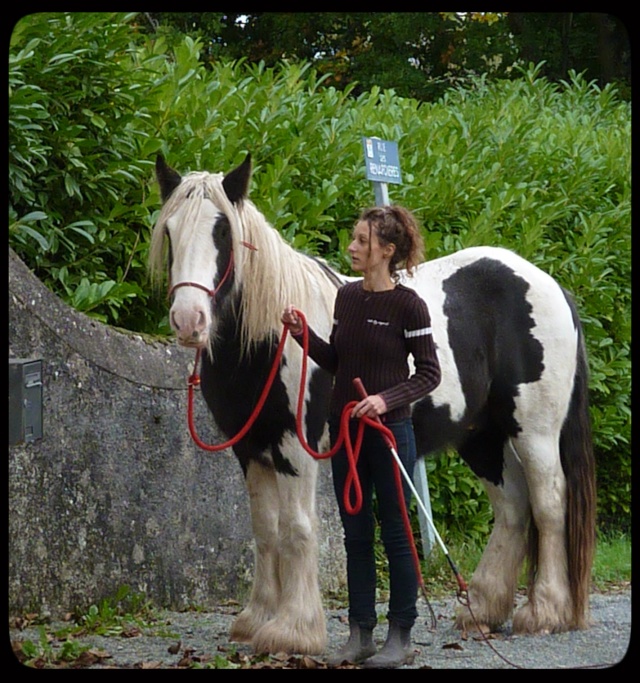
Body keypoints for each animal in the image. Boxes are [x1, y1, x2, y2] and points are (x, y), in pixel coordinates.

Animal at [149, 152, 596, 656]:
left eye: (223, 231)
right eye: (170, 231)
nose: (189, 320)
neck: (264, 342)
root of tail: (550, 285)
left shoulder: (296, 448)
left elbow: (296, 530)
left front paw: (293, 629)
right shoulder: (251, 451)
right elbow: (264, 531)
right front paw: (256, 619)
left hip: (534, 432)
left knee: (549, 503)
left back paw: (544, 611)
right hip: (482, 437)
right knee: (514, 509)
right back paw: (482, 609)